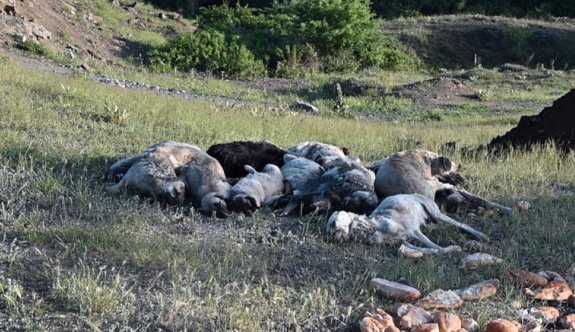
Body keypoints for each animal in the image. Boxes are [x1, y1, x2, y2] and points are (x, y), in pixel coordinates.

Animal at [326, 193, 488, 250]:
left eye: (332, 223)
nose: (331, 237)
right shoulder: (403, 241)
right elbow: (426, 250)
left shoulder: (413, 231)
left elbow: (437, 248)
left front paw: (452, 249)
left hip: (436, 213)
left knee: (462, 224)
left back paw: (480, 235)